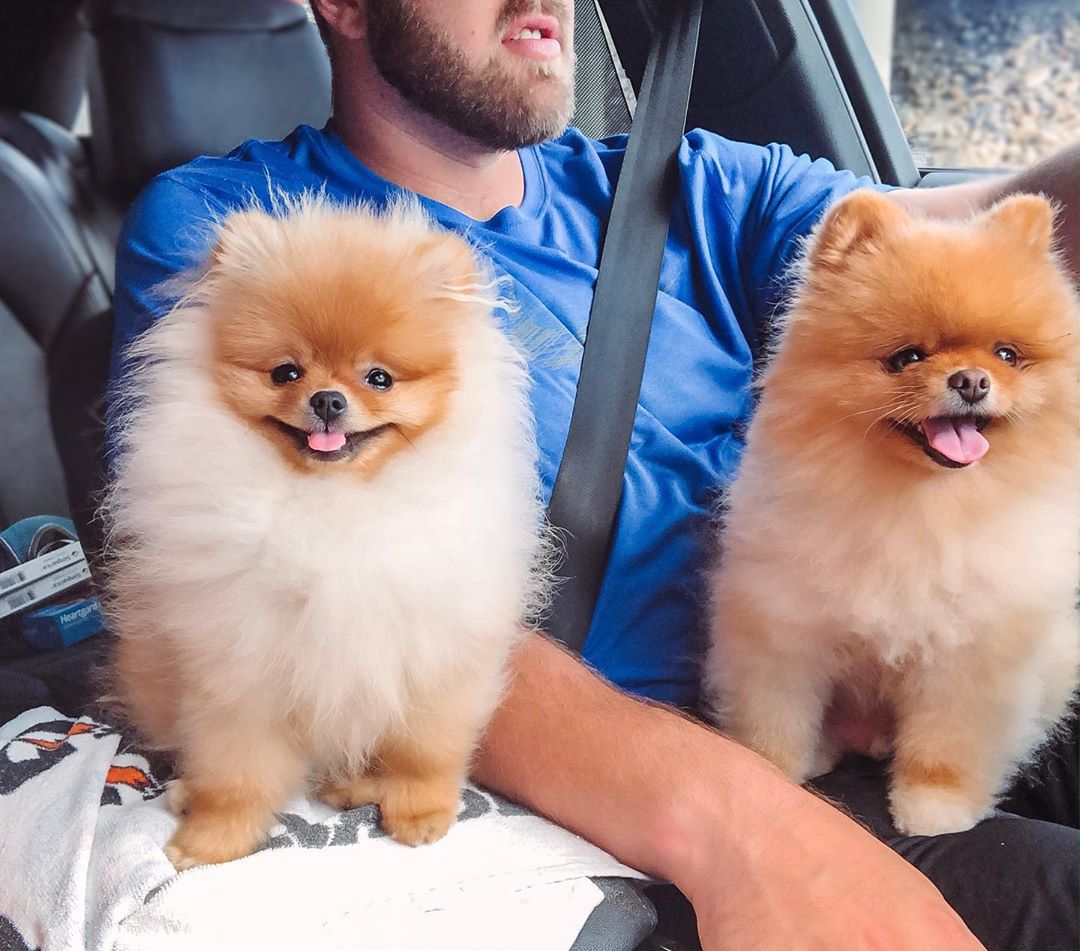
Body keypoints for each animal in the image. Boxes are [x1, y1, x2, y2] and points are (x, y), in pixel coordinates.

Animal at [103, 198, 548, 867]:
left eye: (379, 377)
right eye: (286, 372)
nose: (328, 400)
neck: (335, 503)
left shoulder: (435, 651)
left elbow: (423, 750)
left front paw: (421, 812)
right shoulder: (240, 659)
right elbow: (234, 774)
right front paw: (210, 840)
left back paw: (351, 786)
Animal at [704, 191, 1075, 829]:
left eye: (1007, 355)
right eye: (907, 357)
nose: (972, 380)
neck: (920, 506)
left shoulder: (968, 659)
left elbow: (946, 745)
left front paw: (934, 807)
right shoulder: (783, 628)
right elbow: (774, 718)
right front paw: (773, 771)